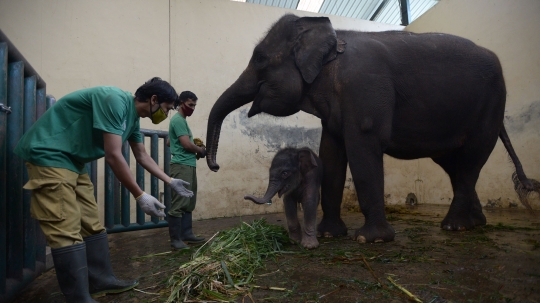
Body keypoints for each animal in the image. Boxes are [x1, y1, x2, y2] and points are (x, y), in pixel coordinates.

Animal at [204, 14, 536, 245]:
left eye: (260, 59)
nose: (215, 165)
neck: (331, 43)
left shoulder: (364, 89)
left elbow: (362, 148)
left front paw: (369, 239)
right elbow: (331, 154)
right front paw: (329, 235)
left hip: (490, 107)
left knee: (470, 160)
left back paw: (453, 226)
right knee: (456, 165)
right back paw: (476, 223)